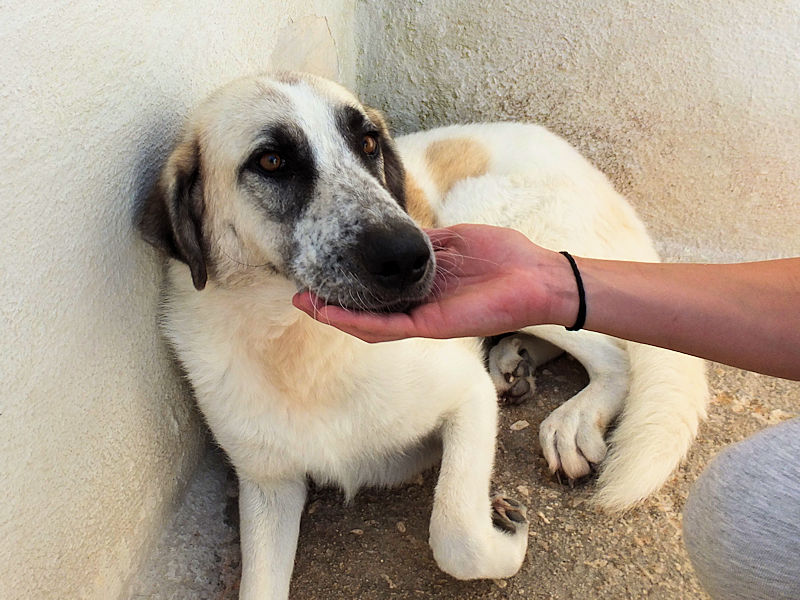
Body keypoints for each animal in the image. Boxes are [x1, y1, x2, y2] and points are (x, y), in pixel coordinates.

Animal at [139, 71, 708, 599]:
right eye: (272, 161)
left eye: (368, 144)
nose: (410, 255)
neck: (301, 347)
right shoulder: (267, 483)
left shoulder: (467, 397)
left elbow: (458, 537)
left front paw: (506, 529)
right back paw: (516, 357)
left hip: (488, 222)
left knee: (613, 353)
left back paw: (572, 418)